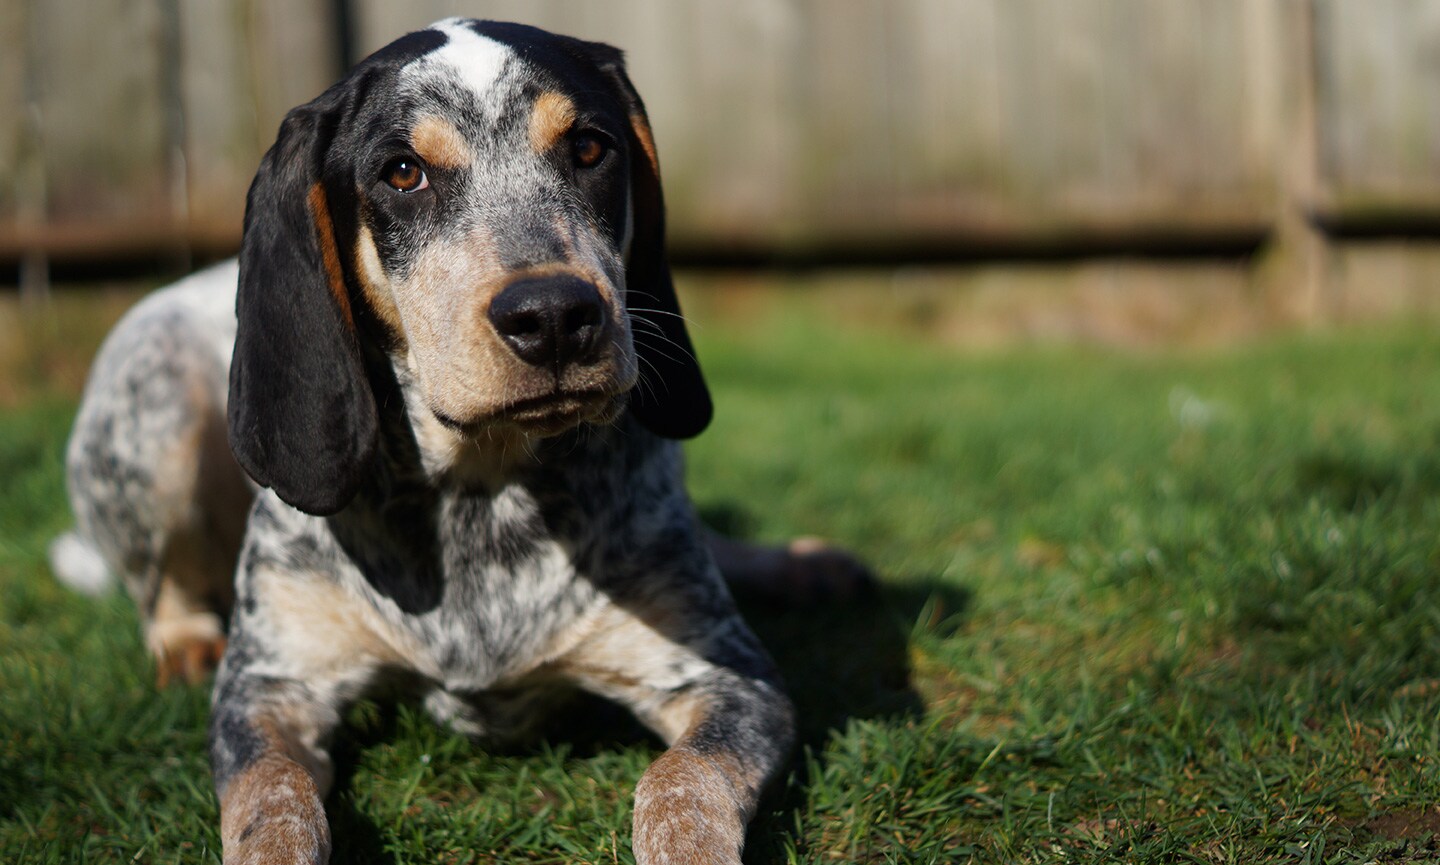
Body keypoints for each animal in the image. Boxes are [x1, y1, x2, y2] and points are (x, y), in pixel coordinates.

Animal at [53, 16, 864, 857]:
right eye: (403, 172)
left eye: (590, 147)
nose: (554, 315)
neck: (481, 485)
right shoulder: (269, 689)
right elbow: (271, 807)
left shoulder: (731, 680)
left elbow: (680, 784)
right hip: (154, 406)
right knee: (163, 586)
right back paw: (184, 641)